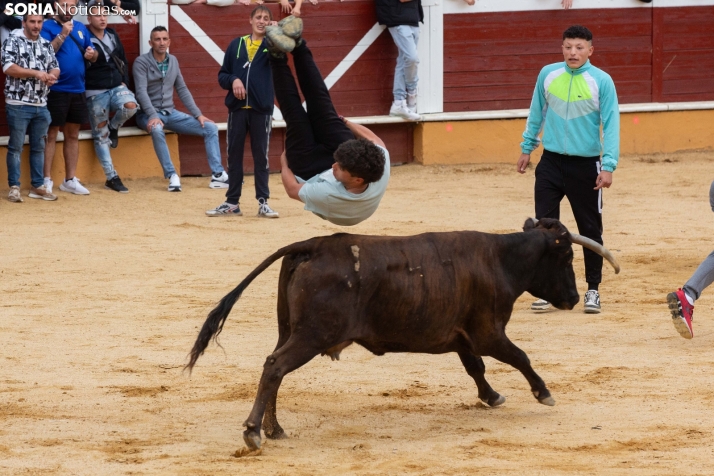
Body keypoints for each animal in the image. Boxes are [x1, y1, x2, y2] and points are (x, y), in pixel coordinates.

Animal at [188, 218, 616, 450]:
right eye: (566, 256)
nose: (573, 297)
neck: (500, 260)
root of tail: (314, 245)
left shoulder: (462, 336)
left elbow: (475, 368)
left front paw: (492, 397)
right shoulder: (487, 332)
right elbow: (519, 357)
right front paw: (544, 393)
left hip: (289, 329)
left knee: (273, 368)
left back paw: (274, 429)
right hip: (312, 335)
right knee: (276, 366)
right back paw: (253, 432)